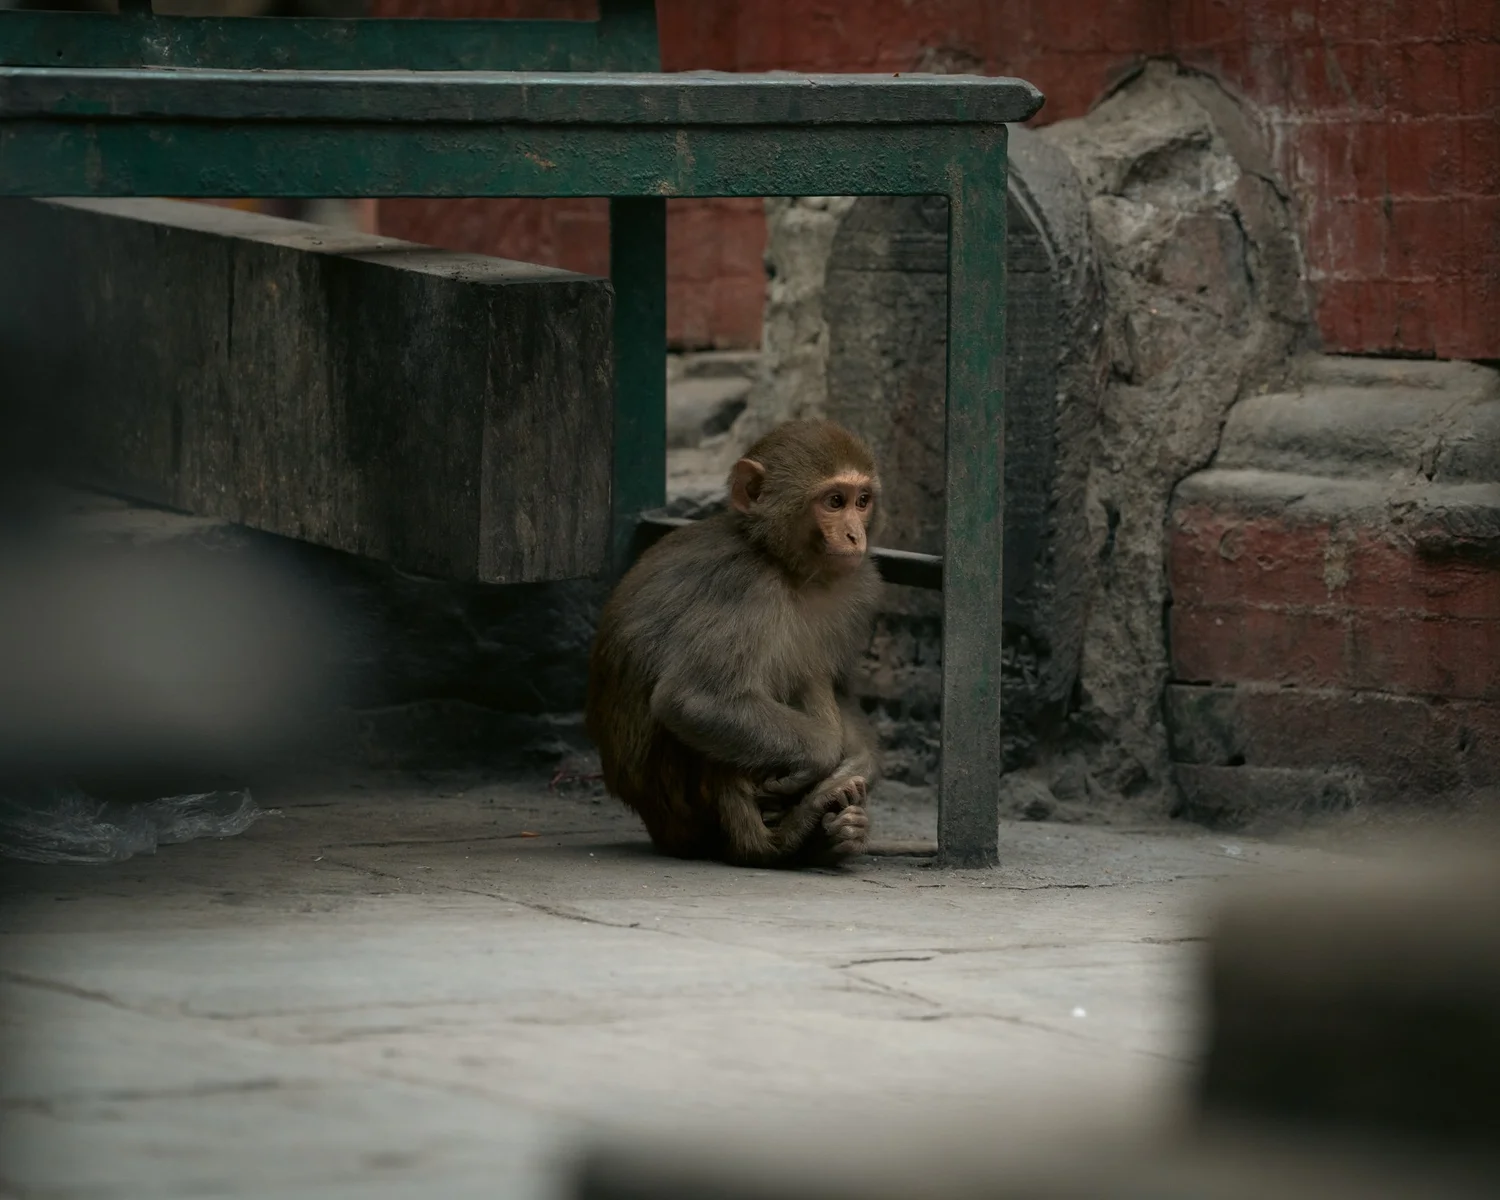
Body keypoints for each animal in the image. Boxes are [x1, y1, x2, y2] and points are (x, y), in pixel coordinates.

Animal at [586, 419, 883, 868]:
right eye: (834, 501)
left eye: (862, 500)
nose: (854, 535)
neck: (784, 566)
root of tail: (656, 827)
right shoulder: (744, 588)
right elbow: (692, 698)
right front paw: (822, 756)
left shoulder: (859, 588)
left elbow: (841, 690)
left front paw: (857, 766)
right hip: (681, 808)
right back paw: (774, 843)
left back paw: (831, 835)